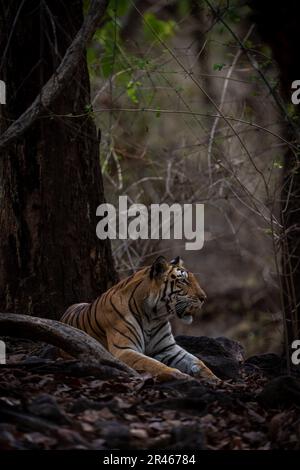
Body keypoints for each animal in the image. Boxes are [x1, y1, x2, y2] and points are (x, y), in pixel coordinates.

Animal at [61, 255, 220, 384]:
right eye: (183, 281)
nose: (204, 298)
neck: (153, 316)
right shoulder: (124, 350)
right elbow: (152, 364)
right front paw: (180, 376)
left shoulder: (167, 348)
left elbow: (198, 362)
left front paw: (216, 380)